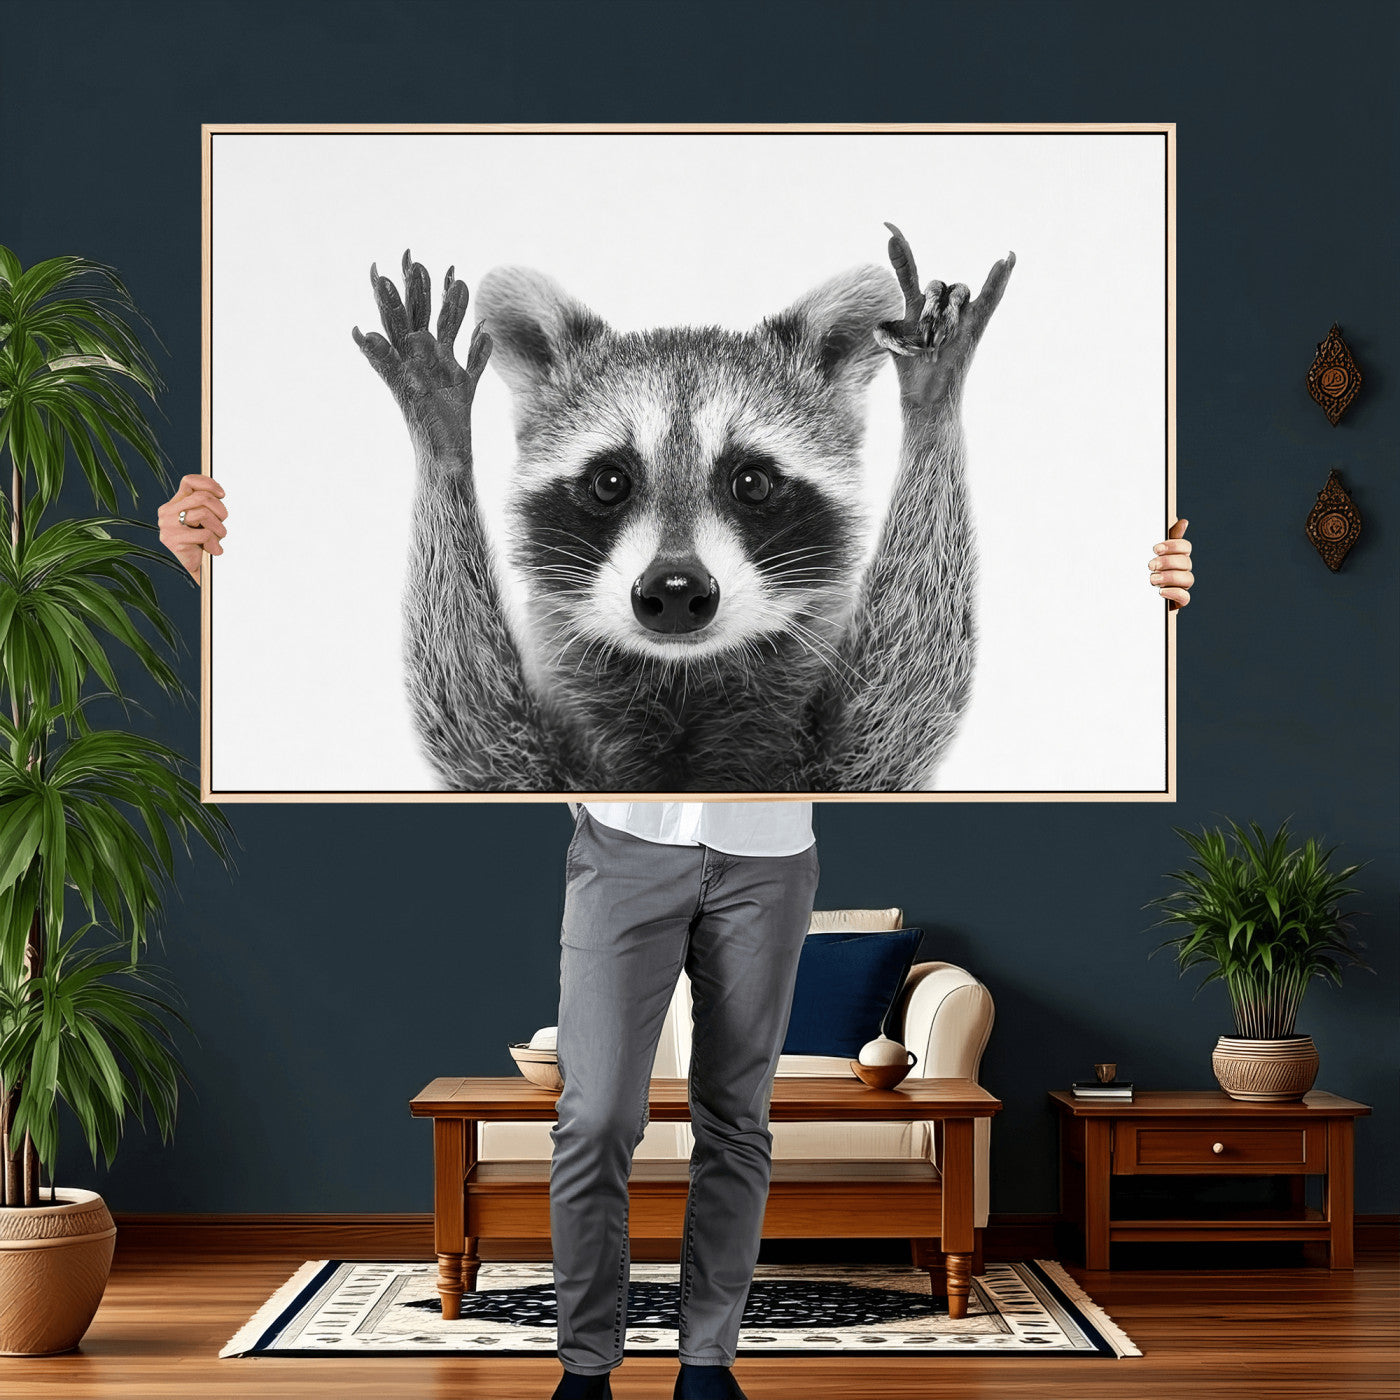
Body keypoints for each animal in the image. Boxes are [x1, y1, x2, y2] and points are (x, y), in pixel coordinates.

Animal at [352, 225, 1014, 792]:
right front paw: (441, 435)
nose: (674, 589)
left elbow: (908, 692)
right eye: (609, 482)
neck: (681, 682)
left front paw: (932, 402)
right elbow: (469, 720)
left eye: (752, 483)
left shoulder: (844, 764)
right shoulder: (529, 764)